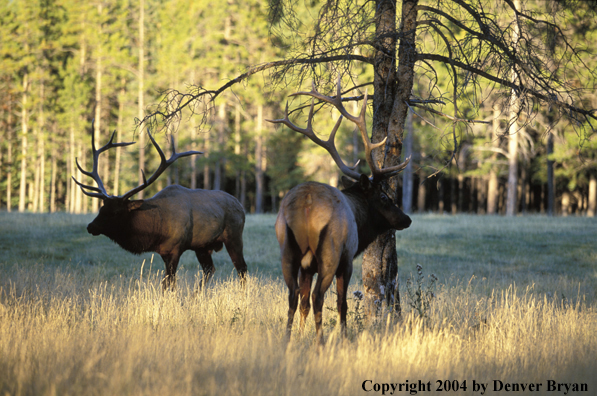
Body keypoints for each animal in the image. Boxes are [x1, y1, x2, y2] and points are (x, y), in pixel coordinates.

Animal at [74, 125, 247, 290]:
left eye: (115, 212)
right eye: (101, 209)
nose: (91, 227)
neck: (156, 230)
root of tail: (241, 206)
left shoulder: (176, 248)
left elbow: (168, 283)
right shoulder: (164, 252)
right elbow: (168, 283)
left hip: (234, 236)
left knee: (242, 268)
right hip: (203, 246)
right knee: (209, 269)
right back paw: (195, 296)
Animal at [266, 78, 410, 344]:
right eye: (384, 197)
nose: (406, 219)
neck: (360, 222)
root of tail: (306, 206)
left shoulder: (306, 267)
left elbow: (302, 302)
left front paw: (300, 336)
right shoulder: (348, 258)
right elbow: (342, 303)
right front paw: (342, 336)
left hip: (287, 248)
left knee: (294, 295)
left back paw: (287, 340)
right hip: (330, 252)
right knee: (318, 296)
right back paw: (321, 342)